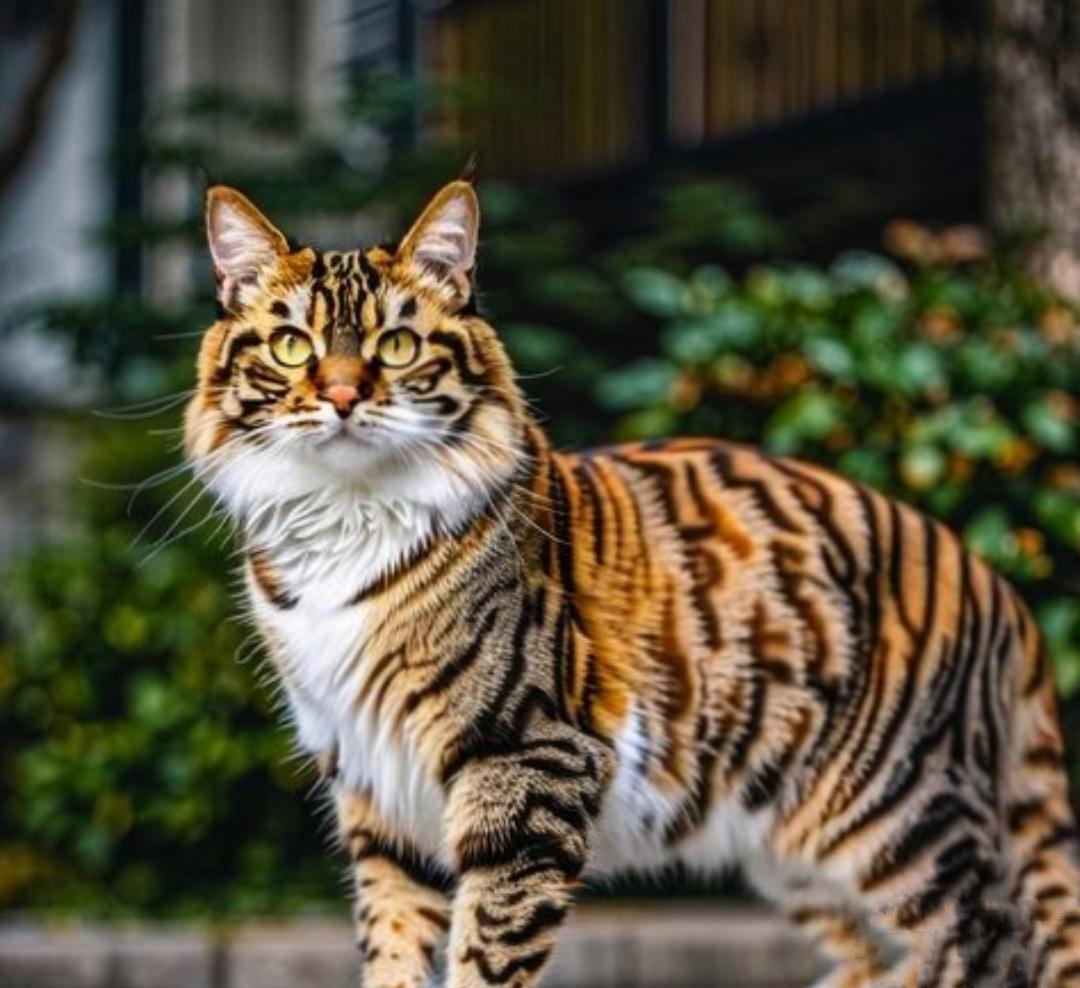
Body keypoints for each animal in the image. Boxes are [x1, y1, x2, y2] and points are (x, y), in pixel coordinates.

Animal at [184, 178, 1080, 988]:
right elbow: (396, 940)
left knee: (991, 941)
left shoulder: (528, 758)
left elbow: (486, 950)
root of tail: (993, 576)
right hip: (792, 844)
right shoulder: (376, 787)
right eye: (292, 346)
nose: (340, 395)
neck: (347, 515)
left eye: (396, 346)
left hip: (889, 810)